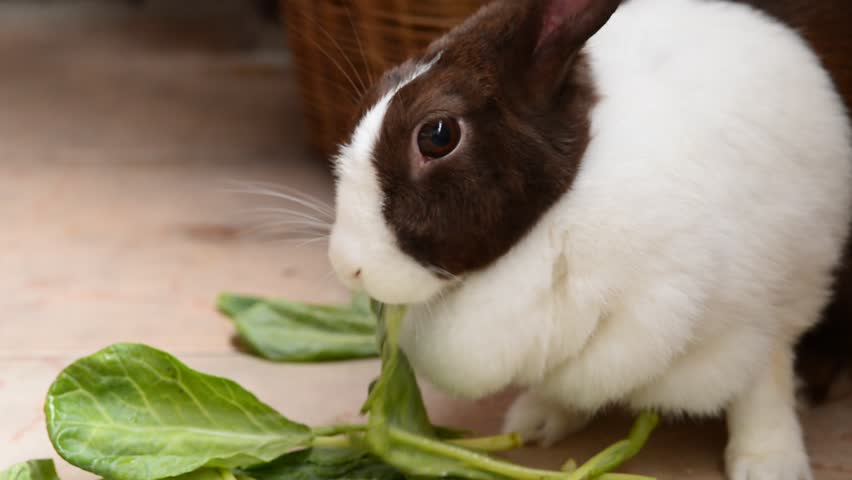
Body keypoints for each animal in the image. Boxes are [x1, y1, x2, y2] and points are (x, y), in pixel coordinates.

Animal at [326, 0, 852, 480]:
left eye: (437, 135)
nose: (346, 266)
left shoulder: (769, 310)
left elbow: (763, 389)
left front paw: (769, 463)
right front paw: (535, 421)